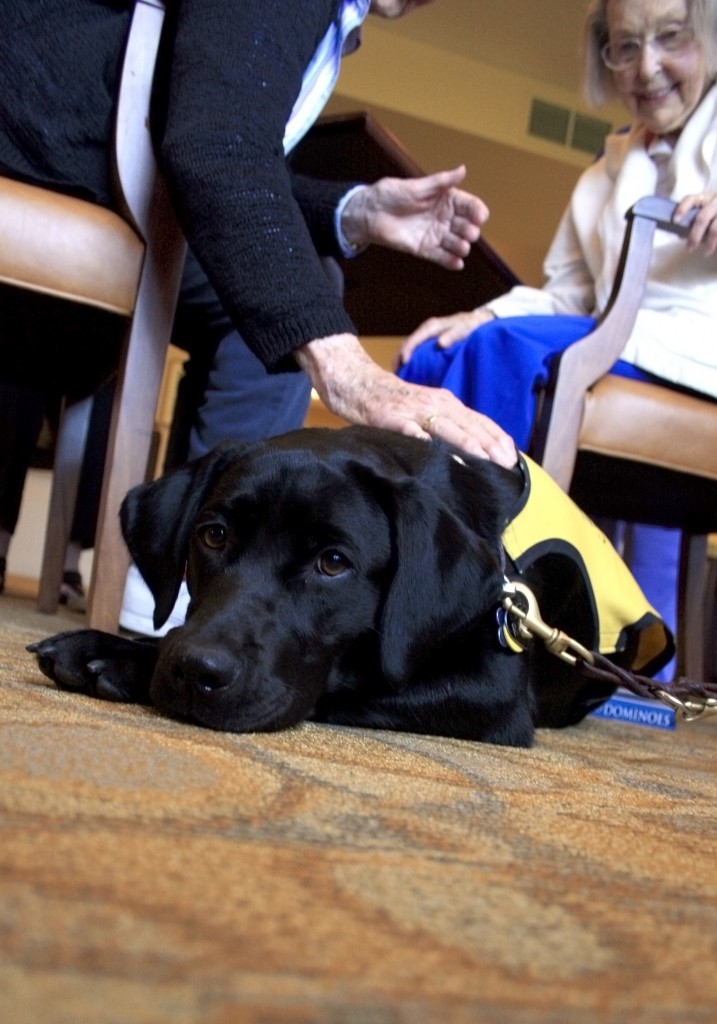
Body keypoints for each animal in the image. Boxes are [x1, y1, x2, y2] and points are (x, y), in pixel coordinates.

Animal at [29, 419, 639, 749]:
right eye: (214, 535)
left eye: (333, 563)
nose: (197, 671)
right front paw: (114, 647)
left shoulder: (492, 692)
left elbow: (349, 683)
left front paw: (123, 659)